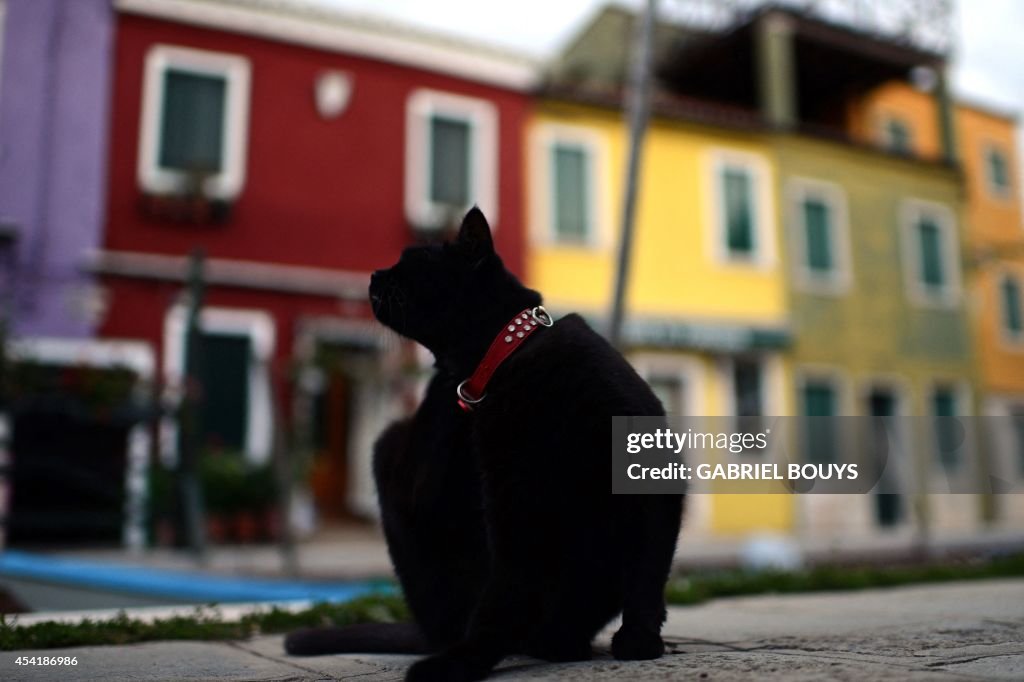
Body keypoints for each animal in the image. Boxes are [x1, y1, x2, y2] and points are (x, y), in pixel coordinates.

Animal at [284, 206, 684, 679]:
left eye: (413, 260)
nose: (374, 275)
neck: (508, 356)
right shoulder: (509, 497)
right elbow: (504, 596)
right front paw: (468, 659)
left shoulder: (651, 475)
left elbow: (648, 573)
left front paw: (640, 639)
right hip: (393, 445)